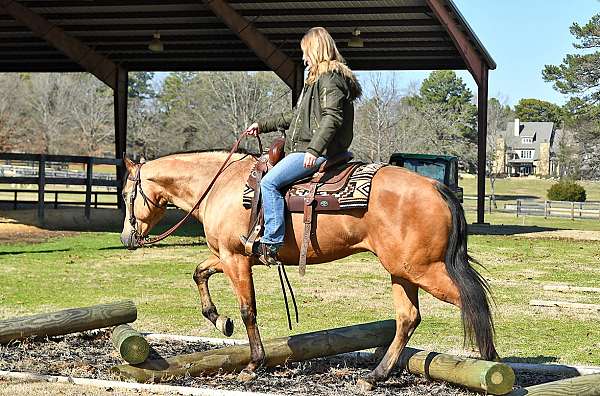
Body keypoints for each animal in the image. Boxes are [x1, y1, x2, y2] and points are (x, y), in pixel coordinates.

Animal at [120, 147, 496, 388]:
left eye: (125, 194)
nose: (126, 237)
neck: (221, 185)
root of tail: (436, 187)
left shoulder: (236, 258)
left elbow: (248, 311)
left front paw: (253, 364)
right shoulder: (229, 255)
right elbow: (200, 272)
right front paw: (218, 319)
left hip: (423, 269)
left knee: (472, 302)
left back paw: (491, 364)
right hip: (402, 273)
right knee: (408, 318)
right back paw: (375, 376)